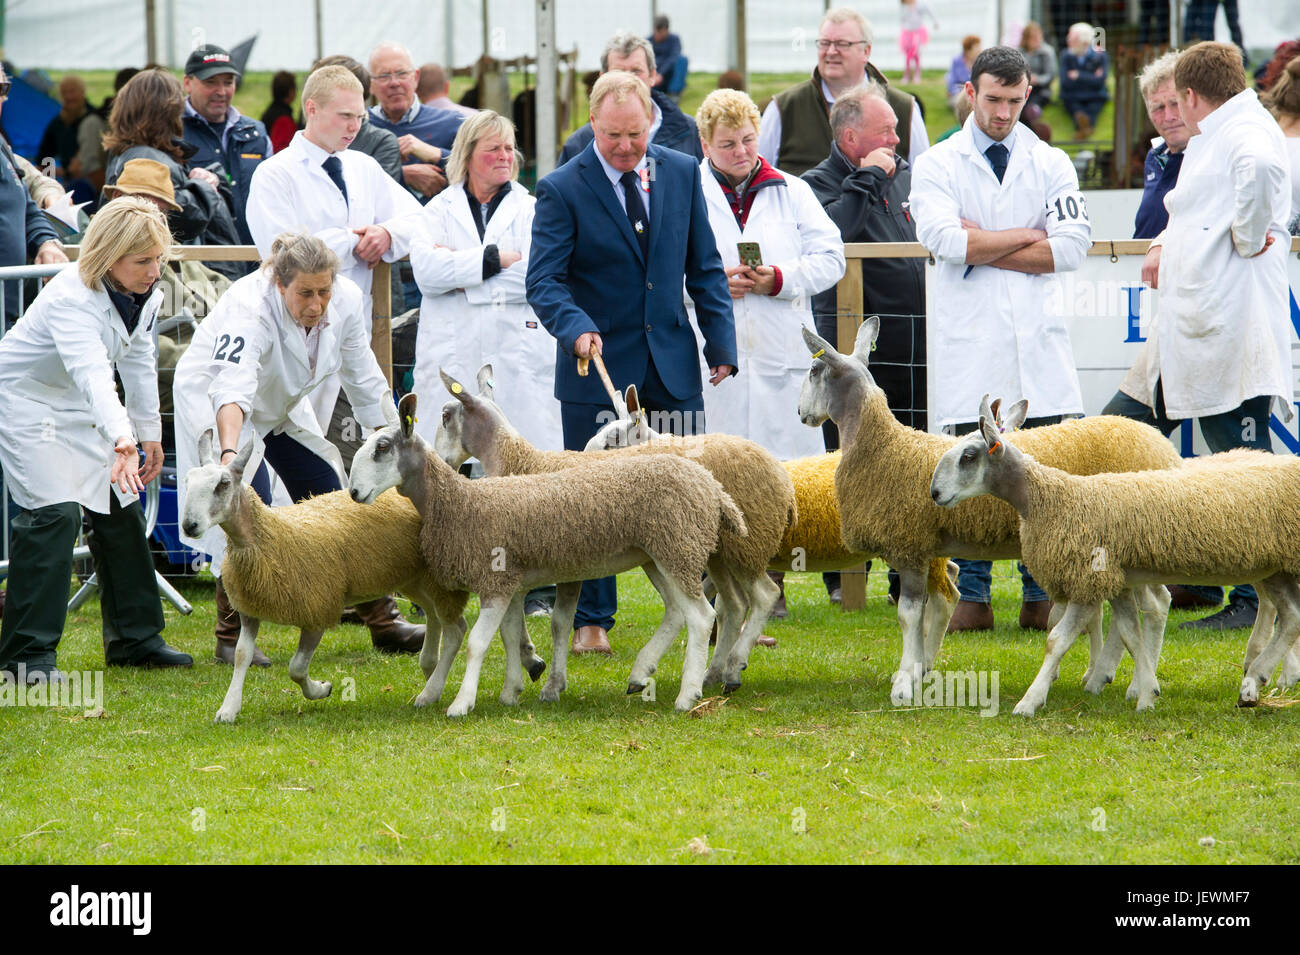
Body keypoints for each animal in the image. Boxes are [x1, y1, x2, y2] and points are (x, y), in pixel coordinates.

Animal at [183, 428, 543, 722]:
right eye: (187, 482)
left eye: (223, 484)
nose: (188, 525)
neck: (267, 538)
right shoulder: (250, 608)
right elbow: (241, 655)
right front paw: (228, 708)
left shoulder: (317, 608)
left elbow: (297, 669)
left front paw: (321, 689)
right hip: (414, 580)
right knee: (439, 621)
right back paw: (433, 672)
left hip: (435, 581)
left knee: (456, 627)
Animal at [351, 392, 748, 712]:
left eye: (382, 448)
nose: (354, 492)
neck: (462, 500)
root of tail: (710, 485)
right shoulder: (510, 583)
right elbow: (511, 635)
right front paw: (511, 691)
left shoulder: (495, 581)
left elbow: (478, 642)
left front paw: (462, 703)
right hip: (661, 555)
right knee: (678, 612)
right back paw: (642, 673)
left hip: (678, 549)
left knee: (702, 617)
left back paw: (688, 695)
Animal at [434, 369, 790, 696]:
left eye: (445, 416)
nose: (442, 462)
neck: (518, 461)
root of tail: (779, 471)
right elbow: (536, 621)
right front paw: (535, 664)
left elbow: (545, 621)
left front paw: (538, 669)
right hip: (708, 552)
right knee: (731, 607)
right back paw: (711, 673)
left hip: (744, 545)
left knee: (763, 595)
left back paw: (730, 665)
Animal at [795, 320, 1185, 712]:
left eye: (813, 370)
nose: (801, 414)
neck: (880, 446)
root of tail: (1163, 446)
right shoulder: (925, 548)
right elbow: (926, 613)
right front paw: (918, 671)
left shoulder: (908, 546)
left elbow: (909, 616)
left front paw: (904, 684)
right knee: (1144, 605)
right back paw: (1115, 676)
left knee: (1152, 605)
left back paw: (1133, 683)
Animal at [930, 420, 1300, 712]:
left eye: (968, 456)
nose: (934, 493)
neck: (1050, 497)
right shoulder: (1115, 580)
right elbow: (1131, 634)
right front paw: (1146, 692)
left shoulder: (1086, 580)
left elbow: (1057, 640)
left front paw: (1030, 701)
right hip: (1277, 570)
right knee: (1292, 618)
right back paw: (1253, 682)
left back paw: (1263, 675)